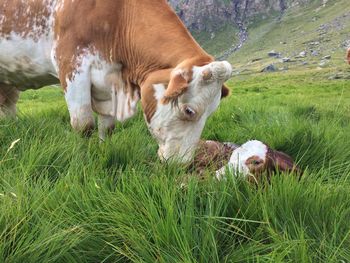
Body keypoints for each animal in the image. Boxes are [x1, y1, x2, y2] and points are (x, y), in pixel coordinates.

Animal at [1, 0, 234, 163]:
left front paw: (103, 152)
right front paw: (83, 159)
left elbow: (108, 126)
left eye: (211, 113)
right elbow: (84, 125)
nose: (182, 163)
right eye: (189, 111)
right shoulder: (71, 64)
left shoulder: (110, 81)